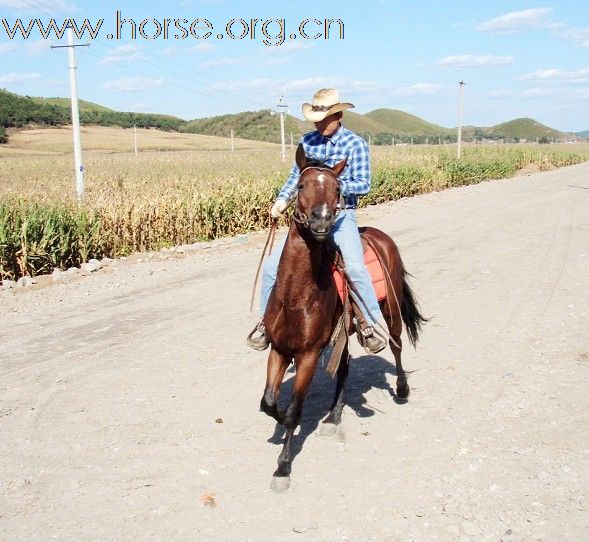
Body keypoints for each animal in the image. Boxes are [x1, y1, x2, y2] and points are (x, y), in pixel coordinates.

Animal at [260, 144, 424, 492]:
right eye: (301, 185)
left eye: (338, 188)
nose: (322, 222)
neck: (296, 295)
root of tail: (379, 237)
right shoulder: (279, 349)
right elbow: (268, 403)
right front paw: (279, 422)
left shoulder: (308, 355)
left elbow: (293, 412)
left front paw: (283, 467)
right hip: (343, 334)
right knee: (345, 369)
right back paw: (334, 417)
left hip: (391, 312)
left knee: (397, 346)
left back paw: (402, 389)